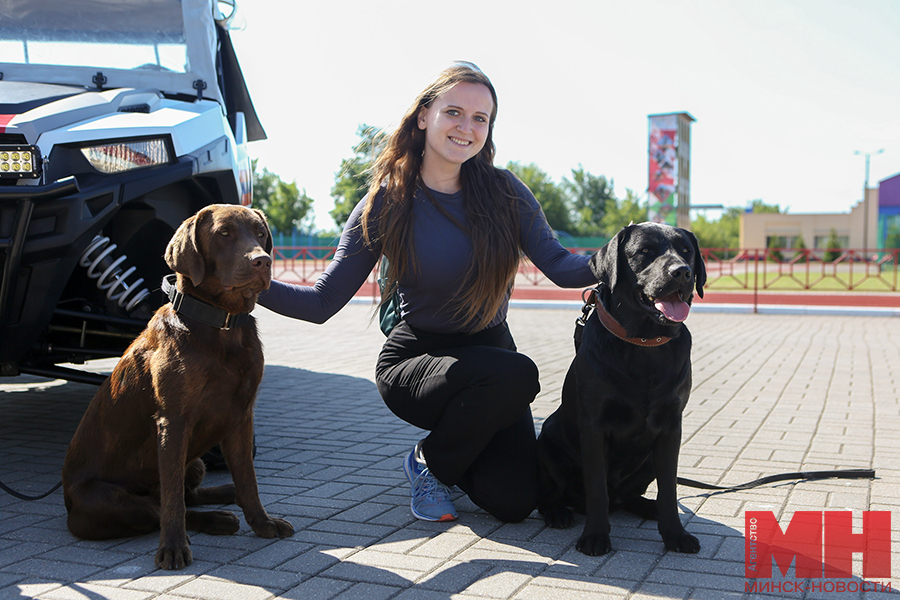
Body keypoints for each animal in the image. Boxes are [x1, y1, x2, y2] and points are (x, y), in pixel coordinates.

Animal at [61, 204, 294, 568]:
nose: (262, 261)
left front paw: (263, 522)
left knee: (190, 494)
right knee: (159, 507)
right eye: (224, 233)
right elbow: (172, 500)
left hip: (196, 462)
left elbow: (248, 479)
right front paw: (172, 548)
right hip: (105, 501)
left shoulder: (242, 416)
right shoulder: (173, 420)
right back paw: (217, 518)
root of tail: (67, 501)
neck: (222, 325)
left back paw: (226, 497)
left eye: (260, 234)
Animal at [536, 223, 708, 556]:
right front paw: (595, 536)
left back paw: (649, 507)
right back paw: (557, 512)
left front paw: (675, 533)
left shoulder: (671, 426)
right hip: (548, 441)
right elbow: (596, 489)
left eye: (686, 251)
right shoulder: (594, 426)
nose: (682, 272)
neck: (644, 342)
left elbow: (669, 488)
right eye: (645, 252)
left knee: (629, 496)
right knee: (554, 493)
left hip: (648, 461)